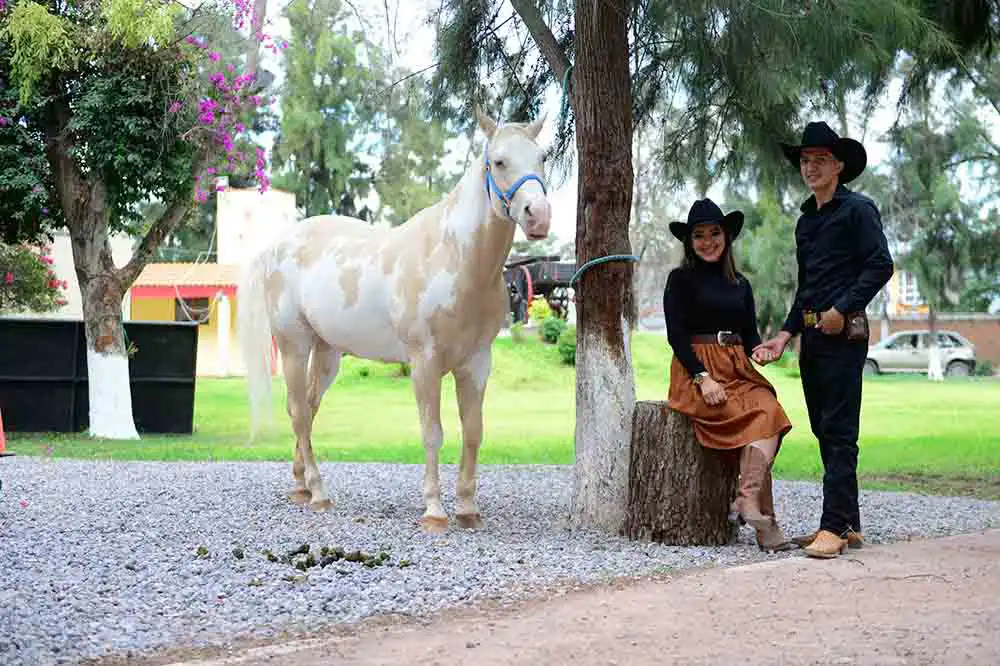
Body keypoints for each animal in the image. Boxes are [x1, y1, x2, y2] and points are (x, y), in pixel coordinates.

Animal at [236, 106, 556, 528]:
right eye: (499, 162)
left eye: (542, 158)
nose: (539, 216)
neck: (454, 260)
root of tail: (277, 246)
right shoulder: (425, 363)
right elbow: (433, 432)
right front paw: (434, 510)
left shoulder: (476, 362)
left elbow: (473, 431)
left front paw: (467, 508)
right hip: (294, 346)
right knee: (300, 412)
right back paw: (319, 492)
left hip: (327, 353)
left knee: (307, 407)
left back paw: (301, 485)